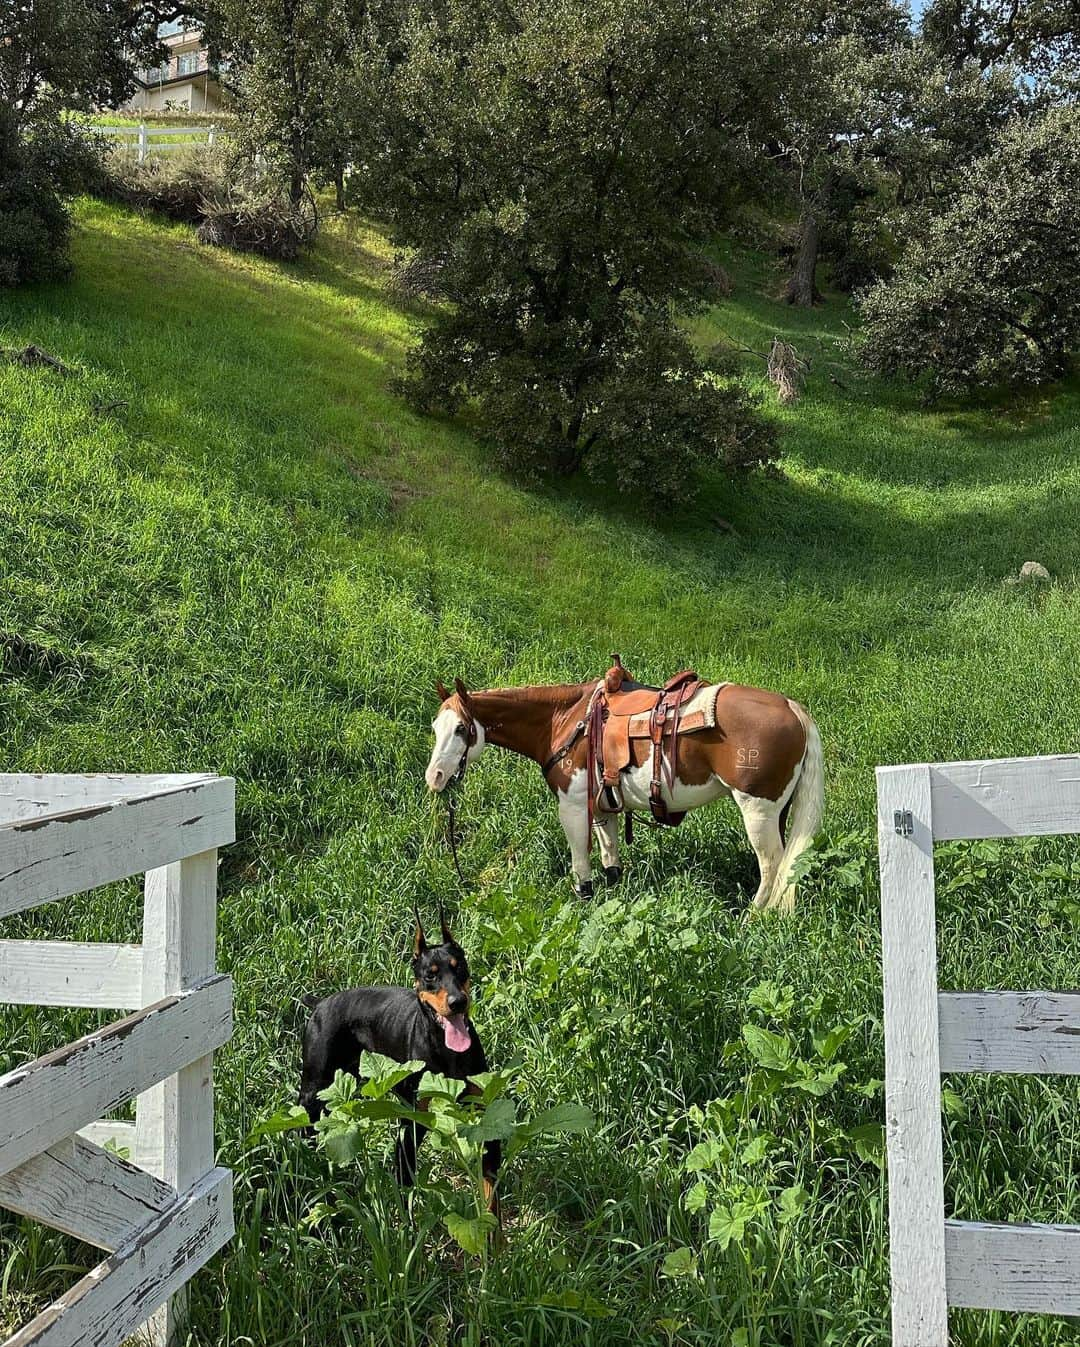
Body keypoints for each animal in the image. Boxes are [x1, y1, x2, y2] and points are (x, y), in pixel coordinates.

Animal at [294, 905, 495, 1201]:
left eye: (460, 968)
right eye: (430, 975)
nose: (458, 1002)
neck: (447, 1050)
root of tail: (320, 1003)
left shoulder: (482, 1116)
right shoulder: (411, 1125)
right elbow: (405, 1180)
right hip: (313, 1084)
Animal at [425, 662, 818, 915]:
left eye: (461, 729)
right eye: (434, 727)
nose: (435, 777)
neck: (563, 719)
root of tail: (794, 709)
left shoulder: (572, 806)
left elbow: (580, 865)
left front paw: (584, 902)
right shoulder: (603, 805)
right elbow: (610, 856)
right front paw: (614, 893)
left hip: (757, 811)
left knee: (772, 866)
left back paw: (754, 917)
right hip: (777, 812)